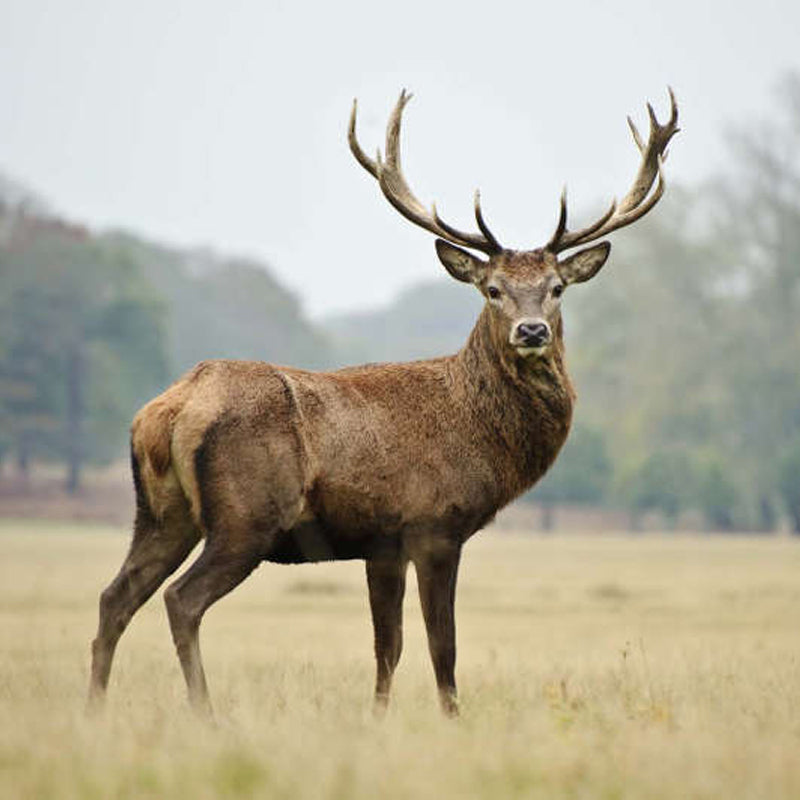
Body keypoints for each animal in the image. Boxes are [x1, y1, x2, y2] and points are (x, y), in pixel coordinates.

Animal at [88, 89, 679, 717]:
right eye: (492, 289)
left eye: (557, 288)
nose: (532, 330)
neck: (478, 433)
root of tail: (169, 409)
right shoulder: (435, 524)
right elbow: (442, 645)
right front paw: (452, 718)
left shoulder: (382, 543)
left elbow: (387, 646)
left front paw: (377, 718)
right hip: (246, 516)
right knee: (181, 600)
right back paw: (205, 714)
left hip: (161, 512)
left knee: (114, 597)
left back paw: (94, 708)